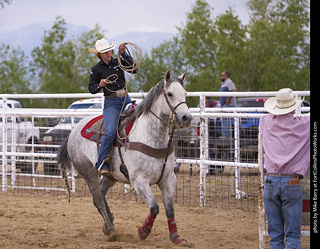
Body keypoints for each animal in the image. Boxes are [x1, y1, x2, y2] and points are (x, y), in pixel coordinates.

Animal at [57, 70, 192, 245]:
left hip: (111, 175)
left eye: (185, 93)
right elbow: (155, 208)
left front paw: (176, 237)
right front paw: (143, 231)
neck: (151, 137)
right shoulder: (139, 181)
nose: (186, 118)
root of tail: (73, 132)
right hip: (88, 171)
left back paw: (109, 222)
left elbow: (170, 210)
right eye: (169, 93)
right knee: (97, 199)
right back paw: (111, 230)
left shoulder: (168, 179)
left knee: (101, 193)